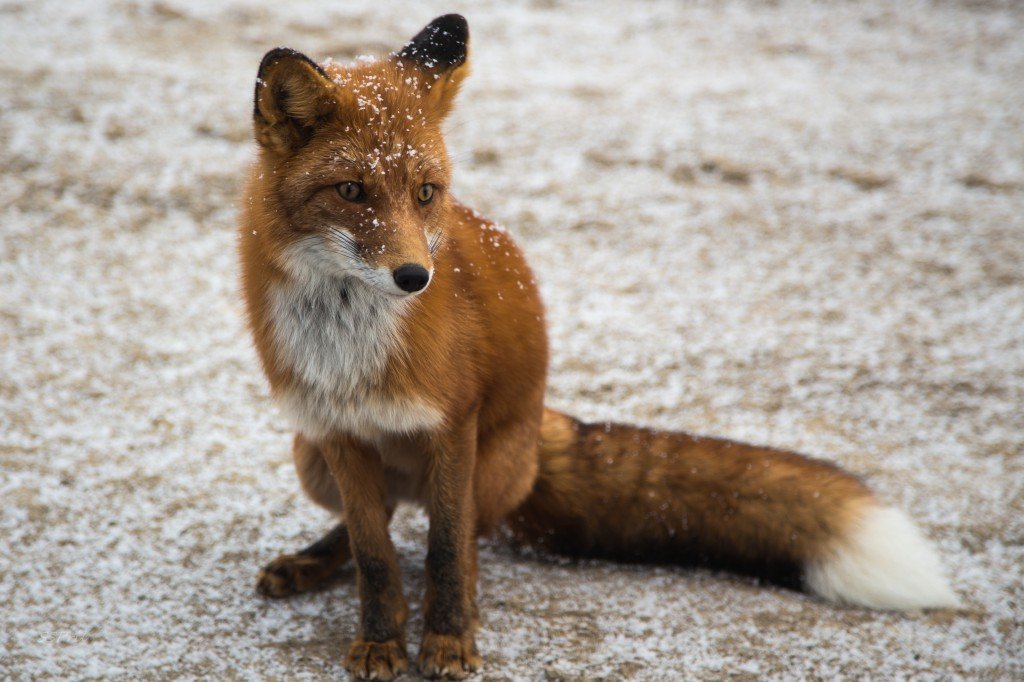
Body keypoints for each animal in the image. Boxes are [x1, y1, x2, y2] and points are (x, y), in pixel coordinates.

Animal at [237, 13, 958, 675]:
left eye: (424, 193)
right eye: (351, 190)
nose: (416, 277)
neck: (348, 343)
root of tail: (540, 431)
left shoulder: (453, 425)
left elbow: (444, 551)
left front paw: (445, 638)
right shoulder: (336, 430)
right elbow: (374, 555)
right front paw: (382, 640)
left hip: (487, 468)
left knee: (465, 537)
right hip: (309, 459)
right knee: (381, 522)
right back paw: (309, 563)